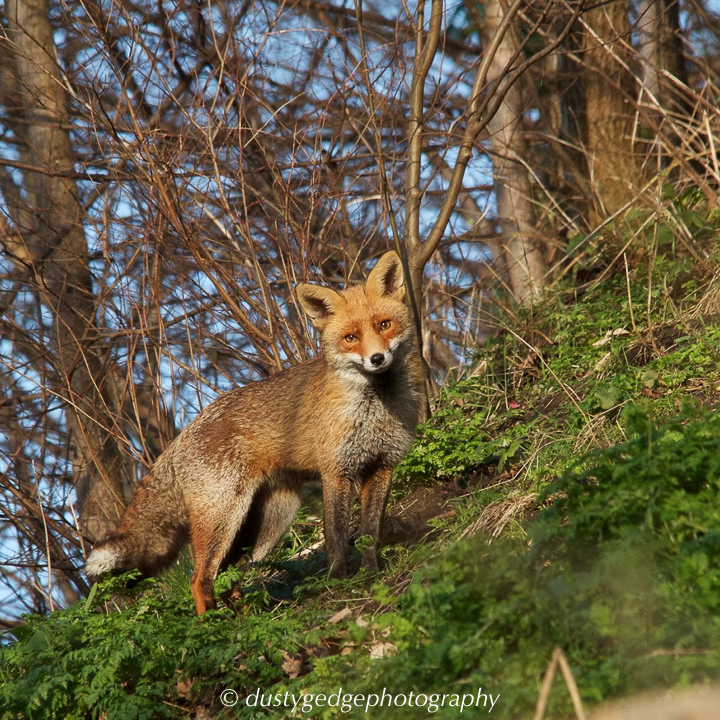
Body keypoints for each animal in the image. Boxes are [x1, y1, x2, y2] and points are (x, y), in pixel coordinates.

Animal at [86, 251, 425, 614]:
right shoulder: (337, 471)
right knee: (199, 579)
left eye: (384, 325)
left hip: (269, 522)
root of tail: (182, 433)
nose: (376, 358)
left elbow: (368, 533)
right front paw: (338, 582)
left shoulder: (382, 465)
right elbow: (336, 535)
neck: (375, 409)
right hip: (224, 518)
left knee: (228, 576)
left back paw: (245, 615)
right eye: (351, 337)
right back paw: (212, 623)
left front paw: (371, 573)